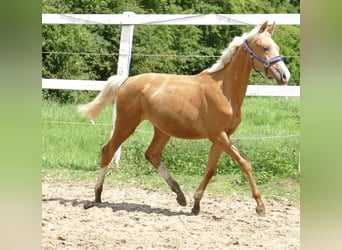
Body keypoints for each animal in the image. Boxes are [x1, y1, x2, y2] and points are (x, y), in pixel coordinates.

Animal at [79, 21, 290, 216]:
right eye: (265, 48)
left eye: (277, 47)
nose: (285, 76)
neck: (224, 90)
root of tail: (126, 80)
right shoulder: (218, 135)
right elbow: (245, 163)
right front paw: (260, 206)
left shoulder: (221, 137)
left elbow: (210, 169)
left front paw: (196, 204)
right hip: (126, 124)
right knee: (108, 151)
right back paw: (97, 196)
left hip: (162, 129)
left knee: (152, 154)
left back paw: (180, 195)